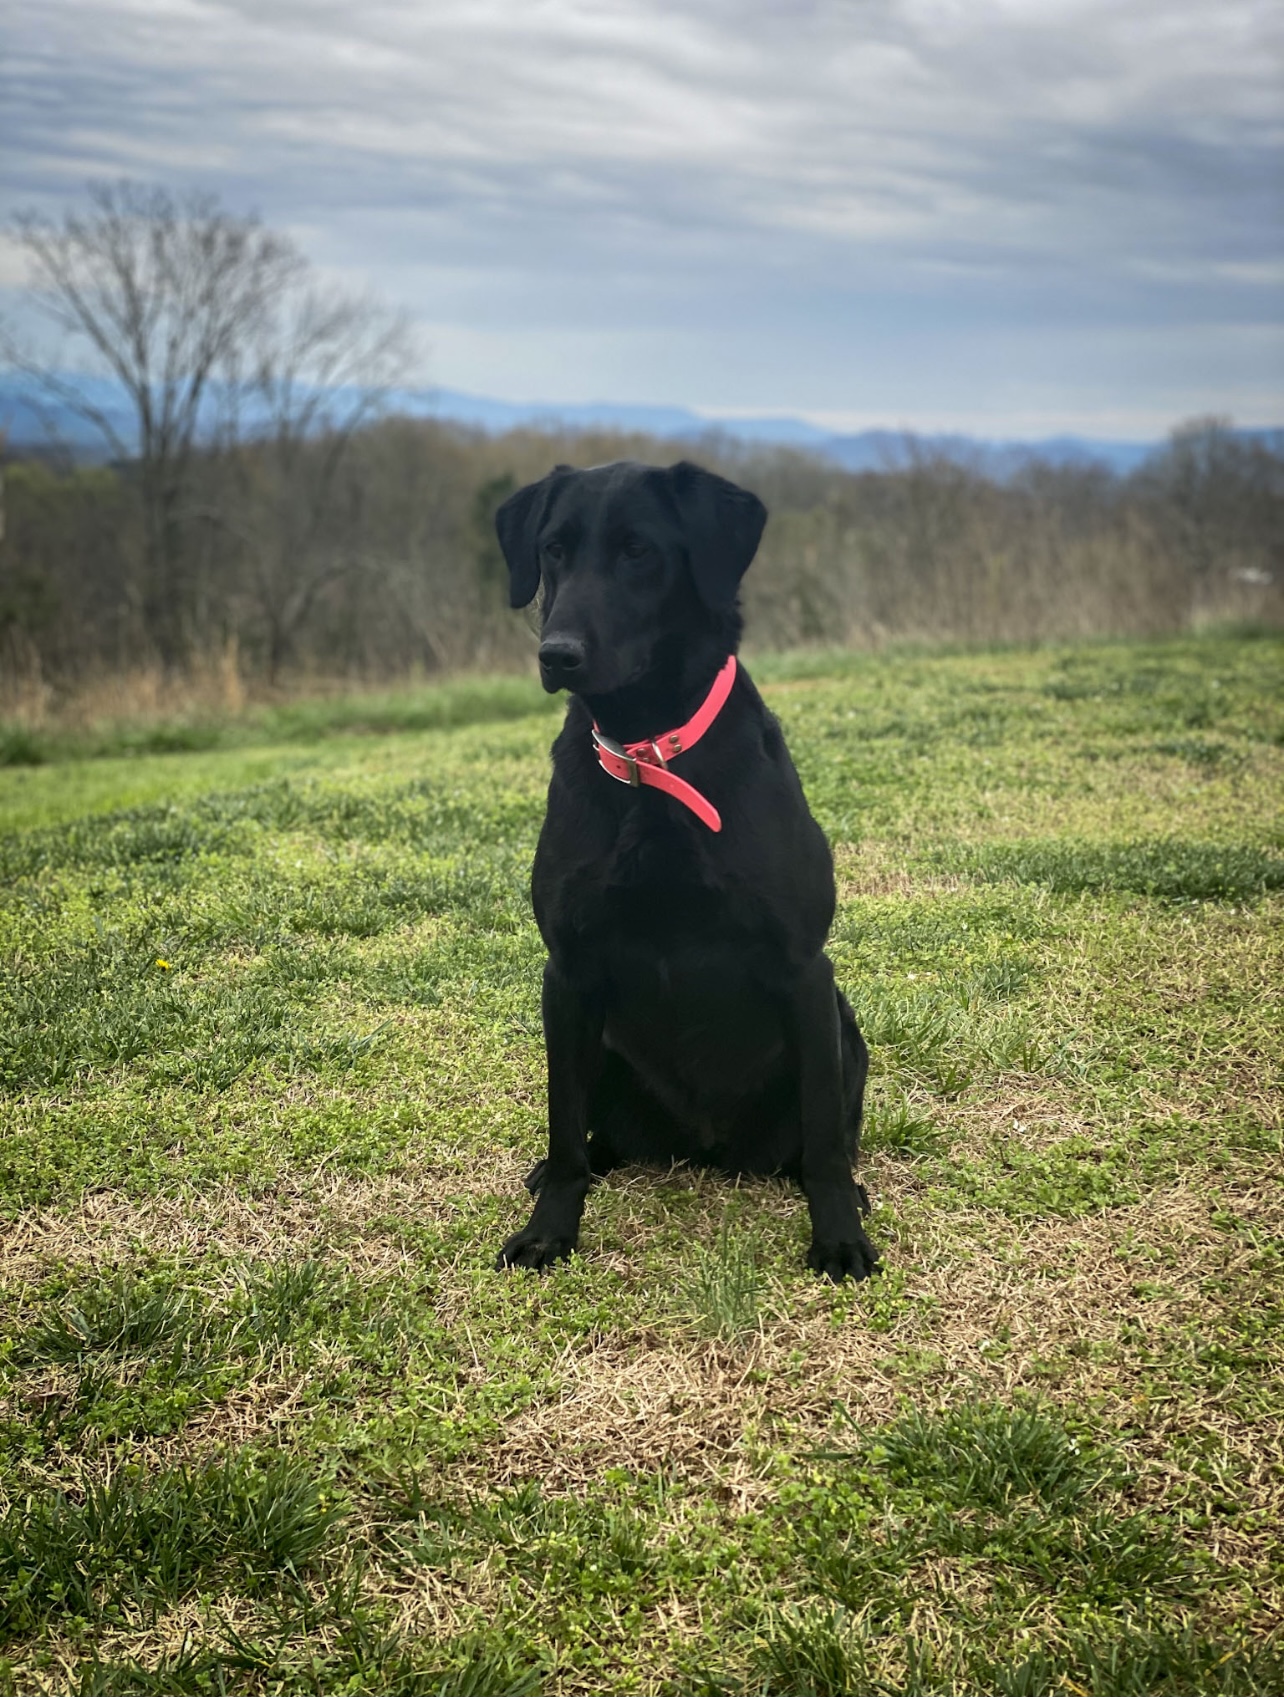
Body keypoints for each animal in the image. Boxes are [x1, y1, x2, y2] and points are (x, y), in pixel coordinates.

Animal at [495, 458, 875, 1276]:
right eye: (553, 550)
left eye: (639, 550)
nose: (557, 654)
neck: (651, 762)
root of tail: (704, 1150)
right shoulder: (566, 973)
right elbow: (563, 1129)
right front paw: (549, 1229)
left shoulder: (805, 969)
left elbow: (826, 1141)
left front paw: (838, 1235)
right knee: (593, 1137)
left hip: (842, 1027)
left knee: (823, 1139)